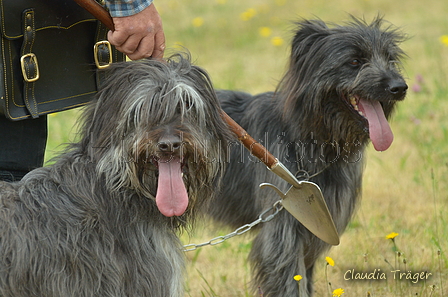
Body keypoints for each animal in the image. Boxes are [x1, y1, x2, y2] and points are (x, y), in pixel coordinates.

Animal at [206, 16, 406, 296]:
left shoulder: (315, 229)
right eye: (355, 61)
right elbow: (291, 281)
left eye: (390, 59)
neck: (309, 137)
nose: (399, 87)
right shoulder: (283, 233)